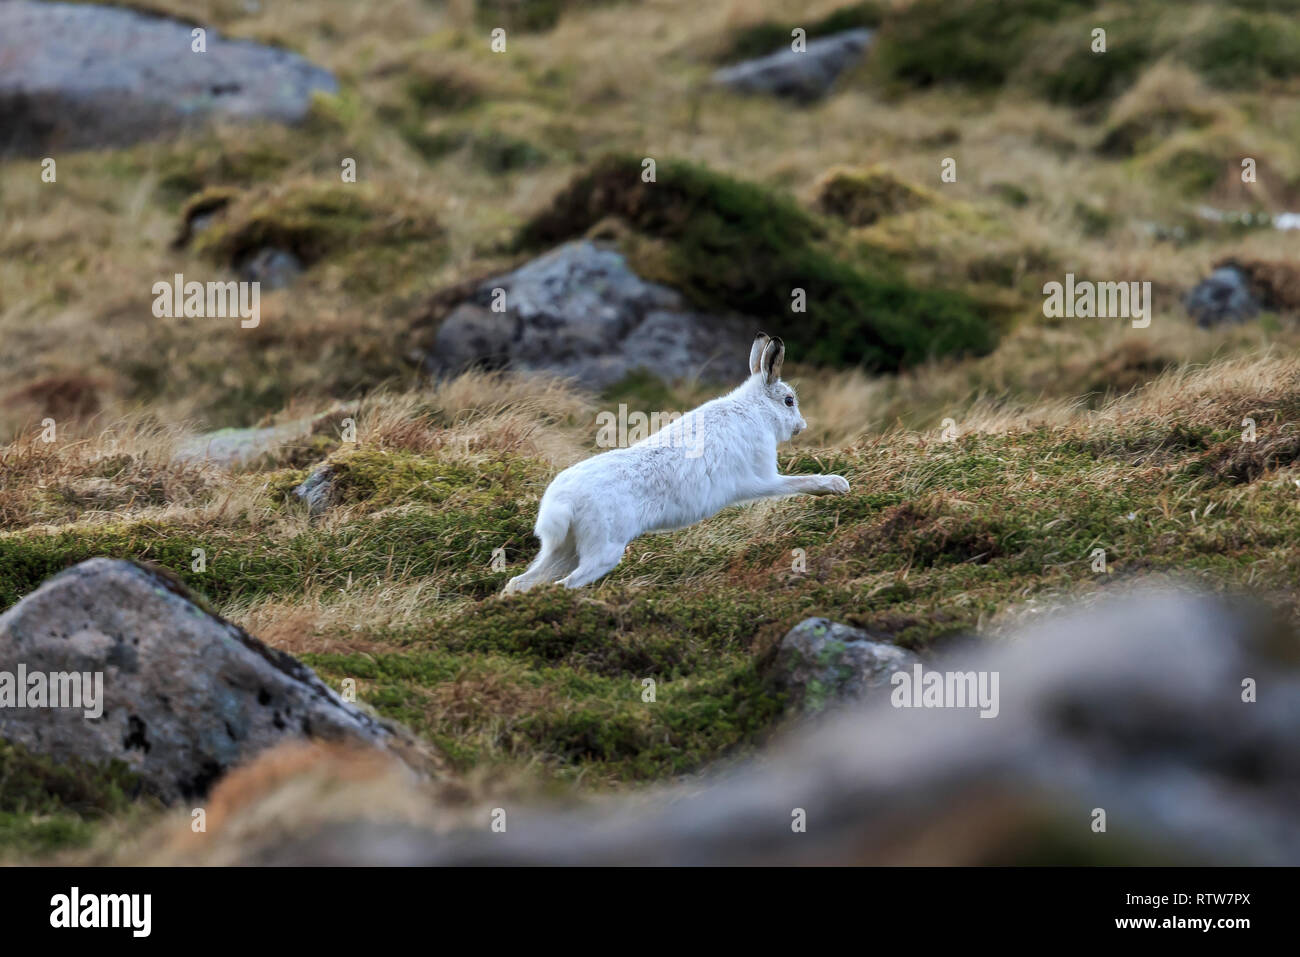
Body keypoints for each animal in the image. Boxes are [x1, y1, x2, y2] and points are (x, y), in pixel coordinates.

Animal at [502, 333, 850, 593]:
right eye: (789, 401)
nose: (801, 426)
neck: (756, 409)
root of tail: (562, 503)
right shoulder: (762, 477)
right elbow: (797, 483)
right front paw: (836, 485)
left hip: (565, 549)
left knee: (521, 582)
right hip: (603, 548)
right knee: (566, 583)